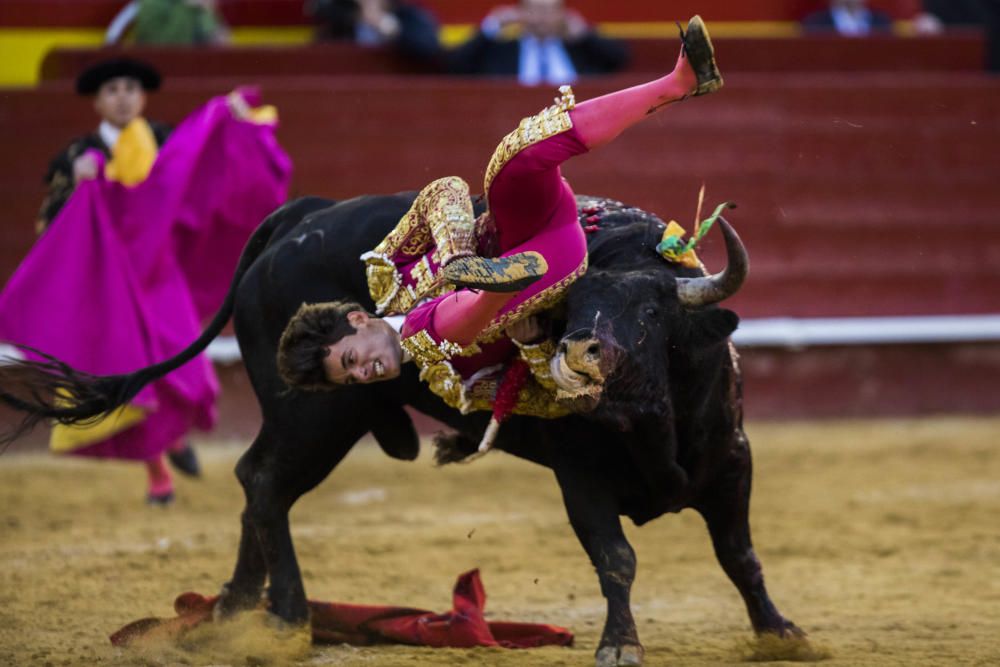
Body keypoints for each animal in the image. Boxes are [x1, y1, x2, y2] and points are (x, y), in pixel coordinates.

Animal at [0, 190, 800, 664]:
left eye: (652, 311)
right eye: (570, 310)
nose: (580, 354)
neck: (648, 420)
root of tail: (295, 220)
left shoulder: (734, 461)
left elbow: (740, 556)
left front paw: (779, 631)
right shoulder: (582, 479)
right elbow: (617, 558)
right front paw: (619, 645)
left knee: (255, 484)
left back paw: (234, 610)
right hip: (315, 413)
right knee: (264, 482)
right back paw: (286, 618)